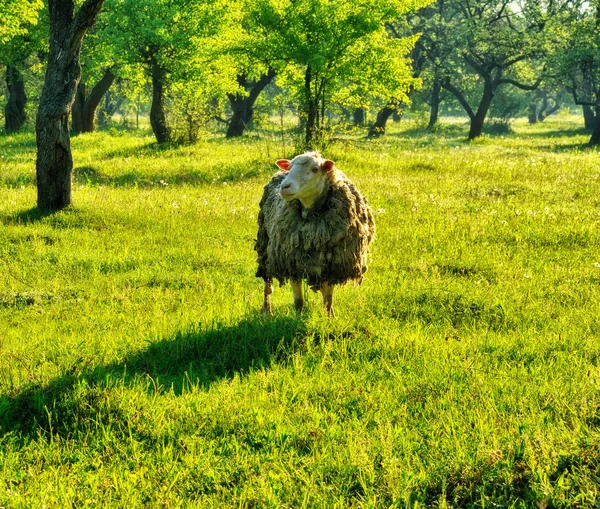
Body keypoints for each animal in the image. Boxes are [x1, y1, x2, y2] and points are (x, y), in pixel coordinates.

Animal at [254, 151, 376, 316]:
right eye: (290, 167)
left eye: (315, 169)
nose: (285, 187)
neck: (310, 216)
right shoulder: (292, 262)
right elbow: (298, 300)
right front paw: (297, 317)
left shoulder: (331, 266)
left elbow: (328, 299)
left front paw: (329, 317)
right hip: (265, 242)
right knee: (267, 282)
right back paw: (267, 309)